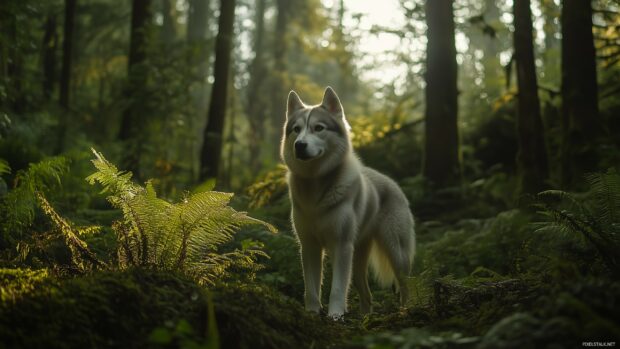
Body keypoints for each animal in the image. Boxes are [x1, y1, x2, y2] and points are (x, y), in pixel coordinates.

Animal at [282, 85, 416, 316]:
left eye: (318, 128)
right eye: (296, 129)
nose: (299, 145)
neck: (316, 187)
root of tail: (392, 182)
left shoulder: (341, 245)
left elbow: (337, 288)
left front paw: (335, 315)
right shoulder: (309, 246)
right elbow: (311, 288)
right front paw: (312, 313)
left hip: (395, 253)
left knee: (405, 286)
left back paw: (404, 312)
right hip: (357, 259)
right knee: (367, 295)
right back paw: (365, 318)